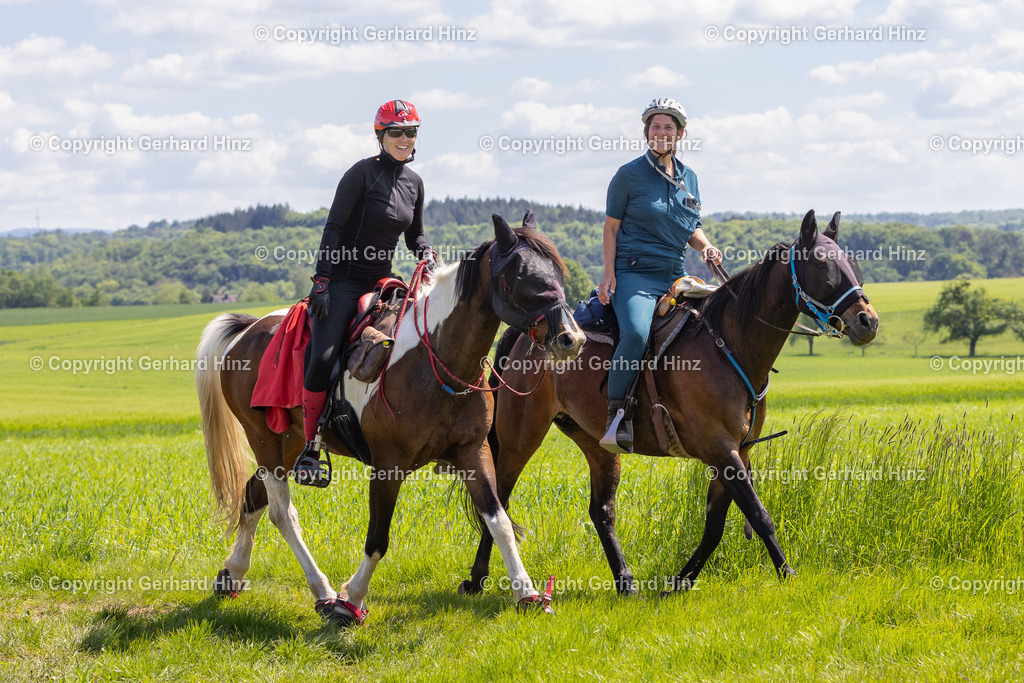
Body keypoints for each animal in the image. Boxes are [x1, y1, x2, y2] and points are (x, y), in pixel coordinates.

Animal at [194, 214, 585, 626]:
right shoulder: (387, 466)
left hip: (288, 442)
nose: (571, 339)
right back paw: (322, 591)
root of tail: (248, 329)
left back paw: (233, 574)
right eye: (523, 275)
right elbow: (378, 538)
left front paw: (527, 593)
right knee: (283, 513)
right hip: (264, 437)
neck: (436, 360)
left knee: (254, 493)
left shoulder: (473, 453)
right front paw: (350, 601)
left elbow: (499, 522)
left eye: (557, 271)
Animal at [464, 210, 880, 593]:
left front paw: (681, 580)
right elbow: (759, 515)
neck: (729, 345)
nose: (868, 321)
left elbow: (715, 527)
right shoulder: (722, 450)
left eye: (851, 262)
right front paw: (787, 573)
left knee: (601, 512)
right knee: (498, 500)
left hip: (597, 444)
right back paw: (477, 578)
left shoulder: (734, 453)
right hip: (521, 437)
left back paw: (625, 581)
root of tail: (524, 335)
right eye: (824, 265)